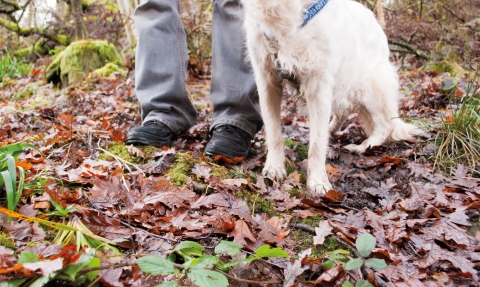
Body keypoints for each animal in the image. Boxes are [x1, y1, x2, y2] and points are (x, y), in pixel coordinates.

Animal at [242, 0, 422, 197]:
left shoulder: (319, 83)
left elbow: (317, 144)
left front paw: (318, 181)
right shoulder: (267, 79)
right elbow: (274, 131)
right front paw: (274, 167)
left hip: (368, 84)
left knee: (385, 125)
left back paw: (362, 147)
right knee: (343, 113)